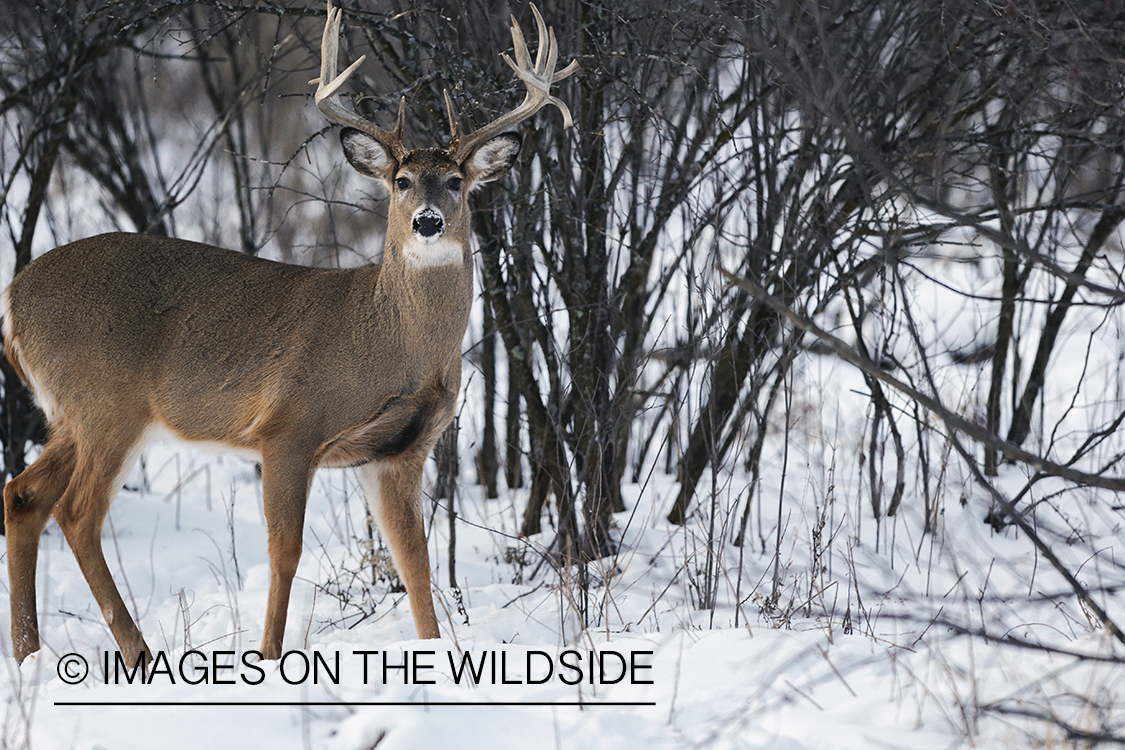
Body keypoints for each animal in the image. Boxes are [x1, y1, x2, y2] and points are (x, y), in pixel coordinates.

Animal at [2, 1, 580, 670]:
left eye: (457, 181)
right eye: (402, 180)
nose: (429, 222)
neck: (390, 343)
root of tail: (12, 302)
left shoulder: (399, 452)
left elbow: (416, 563)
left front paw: (435, 659)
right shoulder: (288, 427)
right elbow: (287, 552)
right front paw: (270, 657)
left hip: (74, 414)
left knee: (23, 496)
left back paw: (28, 656)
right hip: (107, 403)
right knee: (76, 513)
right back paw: (137, 653)